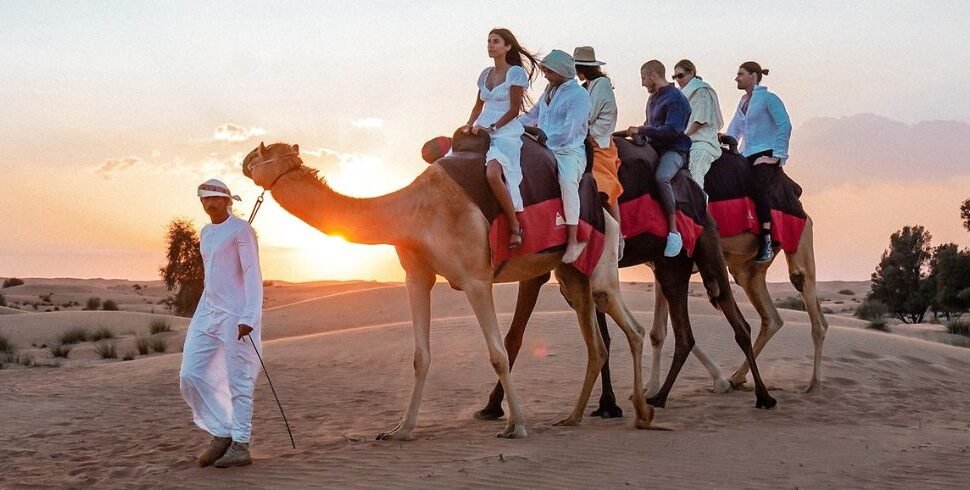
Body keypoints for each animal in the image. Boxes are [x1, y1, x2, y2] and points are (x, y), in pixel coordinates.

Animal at [239, 141, 656, 440]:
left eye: (262, 151)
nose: (243, 162)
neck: (411, 211)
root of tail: (606, 207)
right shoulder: (417, 276)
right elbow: (420, 356)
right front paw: (400, 429)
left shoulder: (475, 279)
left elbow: (498, 354)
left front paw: (517, 425)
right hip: (569, 274)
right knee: (596, 343)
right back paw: (573, 417)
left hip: (600, 263)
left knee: (629, 325)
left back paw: (642, 413)